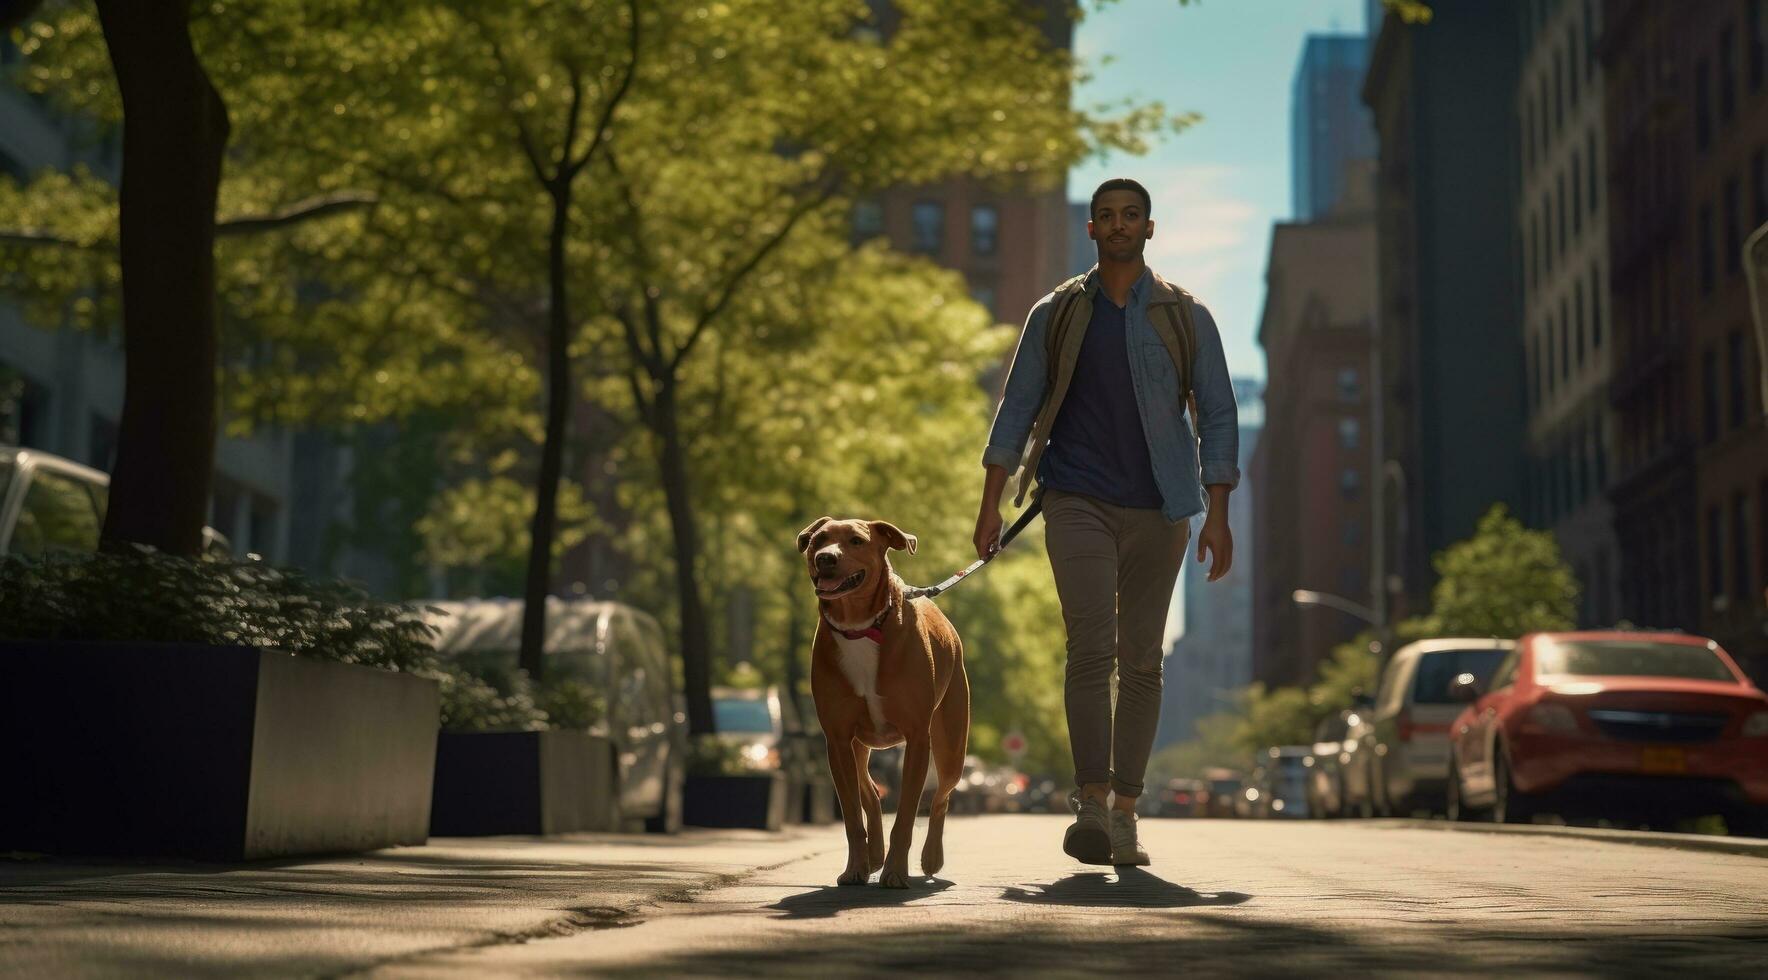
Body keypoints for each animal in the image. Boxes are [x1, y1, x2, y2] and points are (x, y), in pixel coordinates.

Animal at [799, 516, 968, 888]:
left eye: (856, 540)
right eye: (819, 539)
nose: (825, 558)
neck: (860, 628)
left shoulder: (919, 739)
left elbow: (905, 814)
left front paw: (895, 871)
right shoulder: (837, 739)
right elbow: (851, 814)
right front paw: (856, 867)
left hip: (951, 747)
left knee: (941, 798)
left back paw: (931, 858)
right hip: (857, 746)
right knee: (872, 793)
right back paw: (873, 855)